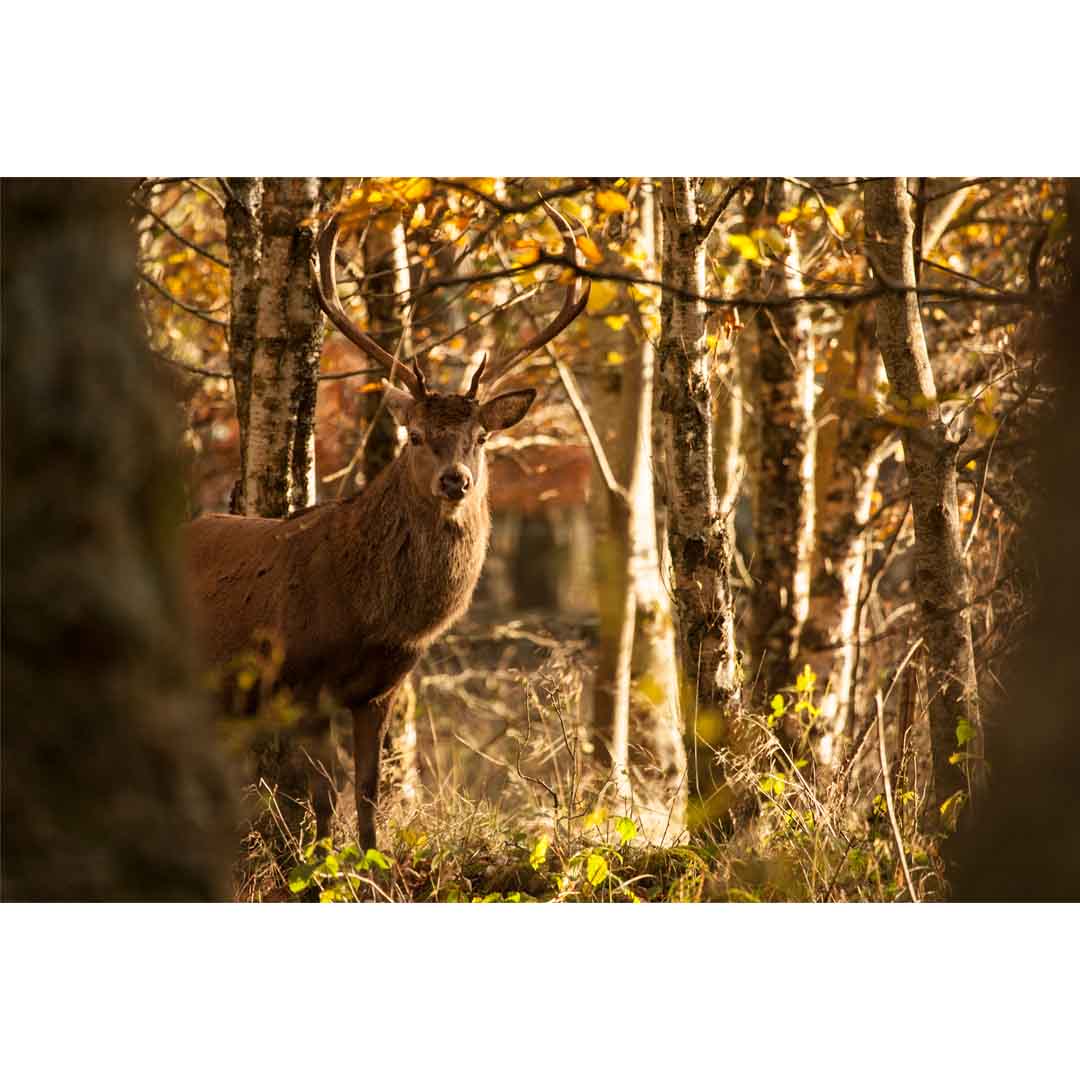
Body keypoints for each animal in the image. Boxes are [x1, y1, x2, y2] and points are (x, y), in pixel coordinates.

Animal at [184, 201, 589, 851]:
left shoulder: (381, 688)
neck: (373, 617)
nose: (455, 481)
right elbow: (325, 794)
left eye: (481, 437)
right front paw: (319, 861)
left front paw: (369, 860)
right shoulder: (301, 681)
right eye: (415, 436)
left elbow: (370, 791)